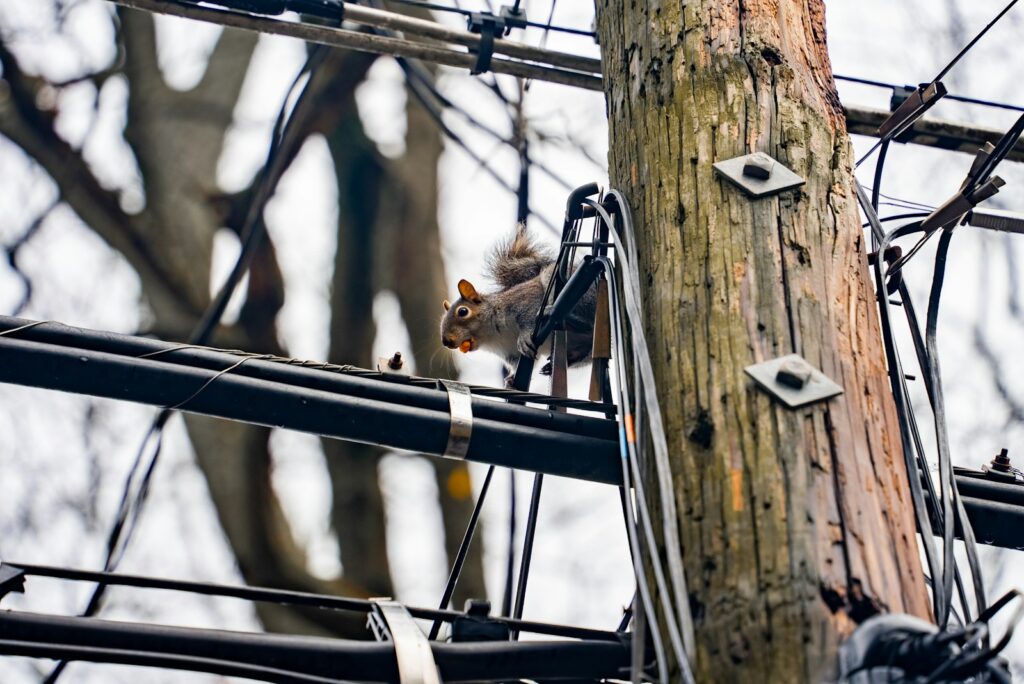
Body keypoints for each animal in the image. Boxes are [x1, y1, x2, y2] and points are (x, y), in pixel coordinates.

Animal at [439, 224, 597, 387]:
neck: (493, 335)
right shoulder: (510, 353)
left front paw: (524, 337)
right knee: (583, 352)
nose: (446, 341)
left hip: (571, 290)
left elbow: (528, 317)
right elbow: (516, 365)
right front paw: (511, 380)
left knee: (588, 322)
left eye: (463, 311)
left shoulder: (524, 300)